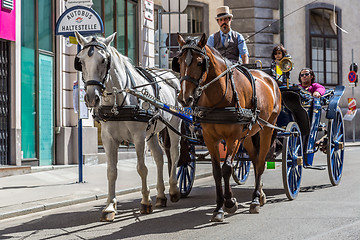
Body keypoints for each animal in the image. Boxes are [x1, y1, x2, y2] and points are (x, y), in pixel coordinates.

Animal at [73, 31, 181, 221]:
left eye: (104, 60)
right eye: (81, 60)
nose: (91, 98)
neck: (118, 101)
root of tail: (170, 74)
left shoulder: (138, 137)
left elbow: (142, 168)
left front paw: (145, 202)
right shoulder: (108, 139)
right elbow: (111, 171)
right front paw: (109, 206)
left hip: (174, 125)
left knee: (174, 153)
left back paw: (174, 190)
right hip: (151, 132)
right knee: (159, 157)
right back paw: (161, 196)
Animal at [174, 32, 282, 222]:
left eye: (200, 62)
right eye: (179, 61)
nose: (185, 98)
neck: (220, 96)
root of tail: (270, 78)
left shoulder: (234, 136)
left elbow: (227, 168)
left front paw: (230, 202)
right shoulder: (210, 138)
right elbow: (217, 171)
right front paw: (219, 207)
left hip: (267, 129)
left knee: (261, 162)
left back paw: (255, 199)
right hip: (249, 135)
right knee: (255, 160)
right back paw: (260, 194)